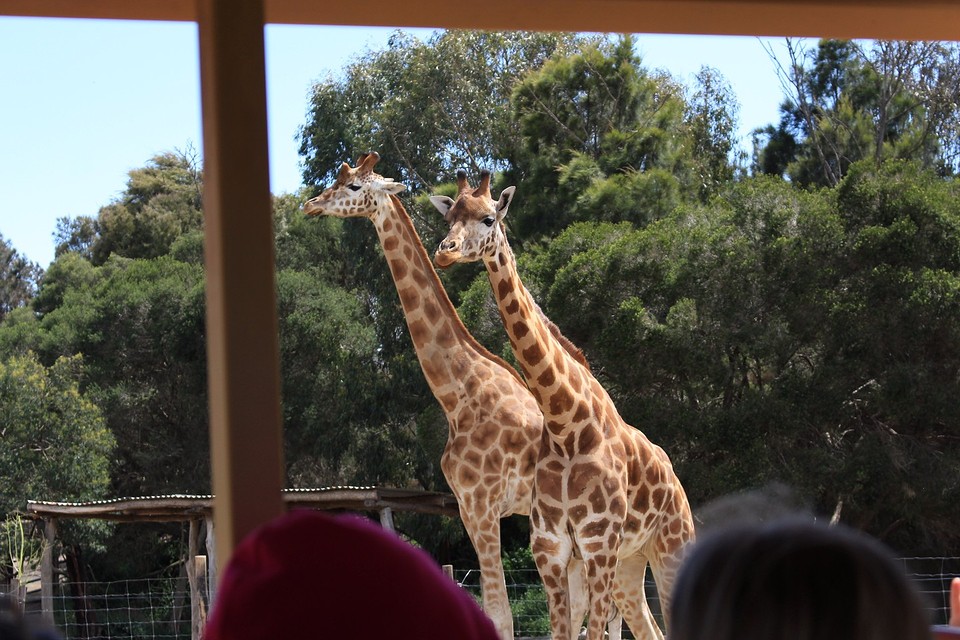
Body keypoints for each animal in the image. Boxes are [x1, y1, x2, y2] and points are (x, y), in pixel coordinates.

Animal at [302, 153, 617, 640]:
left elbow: (501, 614)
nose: (311, 204)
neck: (458, 394)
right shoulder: (468, 508)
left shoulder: (484, 505)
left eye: (354, 185)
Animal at [430, 170, 696, 640]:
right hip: (631, 563)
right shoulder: (551, 549)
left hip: (671, 547)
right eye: (449, 217)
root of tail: (673, 476)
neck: (566, 423)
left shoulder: (596, 546)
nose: (445, 251)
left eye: (487, 218)